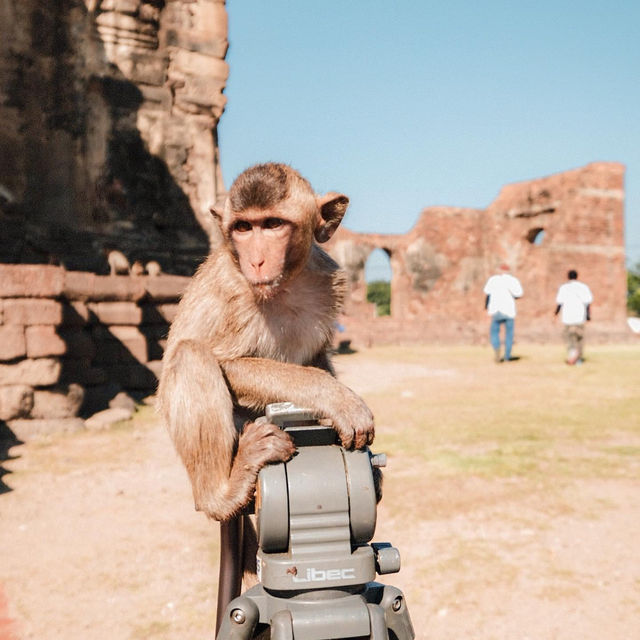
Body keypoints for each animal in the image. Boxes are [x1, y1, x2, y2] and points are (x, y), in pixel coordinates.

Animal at [157, 162, 376, 532]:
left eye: (273, 224)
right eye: (244, 228)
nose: (256, 261)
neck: (283, 286)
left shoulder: (328, 282)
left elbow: (318, 355)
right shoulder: (233, 292)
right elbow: (225, 362)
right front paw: (337, 398)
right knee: (190, 355)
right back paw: (222, 493)